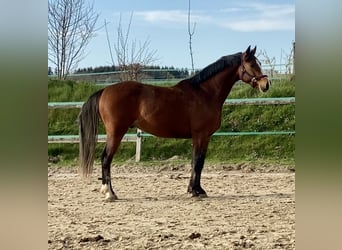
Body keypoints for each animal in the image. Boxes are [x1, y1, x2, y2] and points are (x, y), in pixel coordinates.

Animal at [79, 45, 270, 201]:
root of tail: (105, 90)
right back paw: (109, 193)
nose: (266, 84)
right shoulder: (200, 135)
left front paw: (195, 189)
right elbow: (198, 162)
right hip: (116, 132)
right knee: (106, 159)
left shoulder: (203, 137)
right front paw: (196, 191)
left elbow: (197, 162)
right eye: (252, 64)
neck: (205, 93)